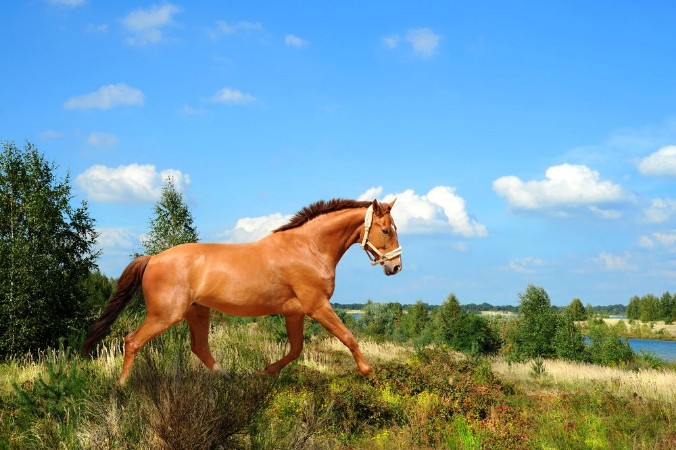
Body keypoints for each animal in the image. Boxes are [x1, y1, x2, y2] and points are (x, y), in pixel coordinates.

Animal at [83, 198, 403, 384]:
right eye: (387, 230)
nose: (396, 266)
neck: (309, 247)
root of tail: (152, 259)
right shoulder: (317, 306)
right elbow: (348, 337)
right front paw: (368, 372)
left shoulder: (295, 313)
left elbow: (295, 349)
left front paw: (263, 372)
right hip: (165, 315)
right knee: (132, 341)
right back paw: (121, 386)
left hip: (197, 312)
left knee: (200, 347)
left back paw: (228, 378)